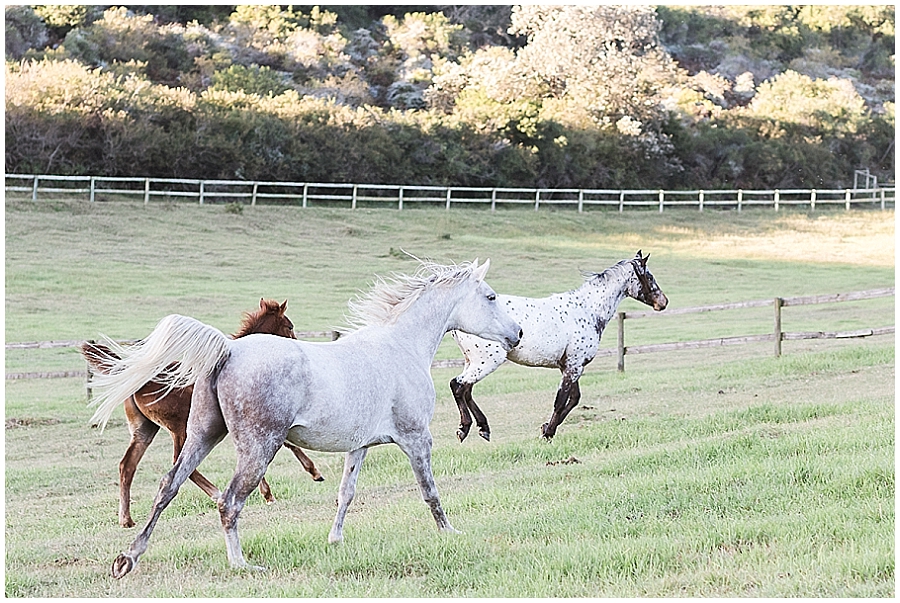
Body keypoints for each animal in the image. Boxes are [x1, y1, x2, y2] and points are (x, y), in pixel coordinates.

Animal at [83, 299, 323, 529]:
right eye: (289, 326)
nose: (299, 346)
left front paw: (268, 492)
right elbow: (285, 445)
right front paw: (313, 472)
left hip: (145, 430)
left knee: (127, 466)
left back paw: (126, 519)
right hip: (181, 428)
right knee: (178, 463)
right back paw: (216, 494)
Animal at [450, 250, 668, 442]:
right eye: (649, 276)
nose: (663, 302)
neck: (586, 310)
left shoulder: (569, 366)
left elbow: (573, 399)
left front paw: (547, 428)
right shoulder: (574, 366)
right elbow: (561, 401)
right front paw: (547, 433)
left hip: (473, 361)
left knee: (466, 390)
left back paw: (483, 428)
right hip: (488, 361)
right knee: (458, 385)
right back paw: (464, 429)